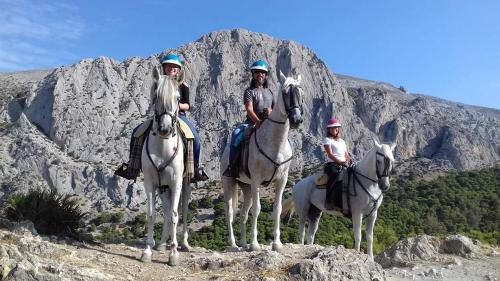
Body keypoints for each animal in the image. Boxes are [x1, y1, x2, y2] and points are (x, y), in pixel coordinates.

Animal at [141, 72, 191, 264]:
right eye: (155, 96)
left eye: (178, 98)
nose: (164, 129)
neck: (163, 148)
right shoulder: (150, 183)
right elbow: (151, 215)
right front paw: (148, 250)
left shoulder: (176, 183)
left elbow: (175, 216)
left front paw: (174, 254)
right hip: (163, 188)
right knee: (167, 211)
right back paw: (162, 243)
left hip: (186, 185)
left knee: (182, 211)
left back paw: (184, 244)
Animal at [222, 71, 304, 250]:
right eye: (285, 92)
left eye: (301, 93)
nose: (296, 120)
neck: (275, 144)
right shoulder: (257, 180)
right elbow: (257, 209)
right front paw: (254, 244)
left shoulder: (281, 180)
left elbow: (277, 208)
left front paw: (277, 243)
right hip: (229, 183)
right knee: (230, 212)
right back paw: (233, 244)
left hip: (246, 187)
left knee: (243, 214)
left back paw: (243, 243)